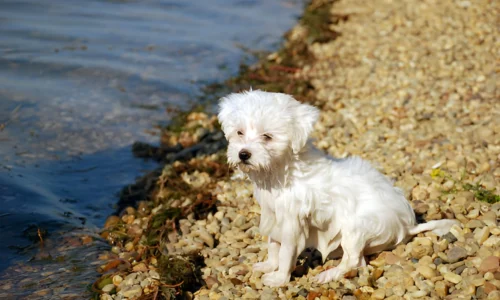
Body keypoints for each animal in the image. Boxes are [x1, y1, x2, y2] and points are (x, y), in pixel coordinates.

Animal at [217, 89, 458, 286]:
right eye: (239, 133)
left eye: (267, 137)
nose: (243, 154)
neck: (281, 171)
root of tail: (407, 225)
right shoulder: (273, 215)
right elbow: (273, 245)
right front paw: (269, 265)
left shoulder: (292, 223)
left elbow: (285, 251)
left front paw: (279, 278)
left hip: (357, 226)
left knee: (354, 261)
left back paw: (329, 274)